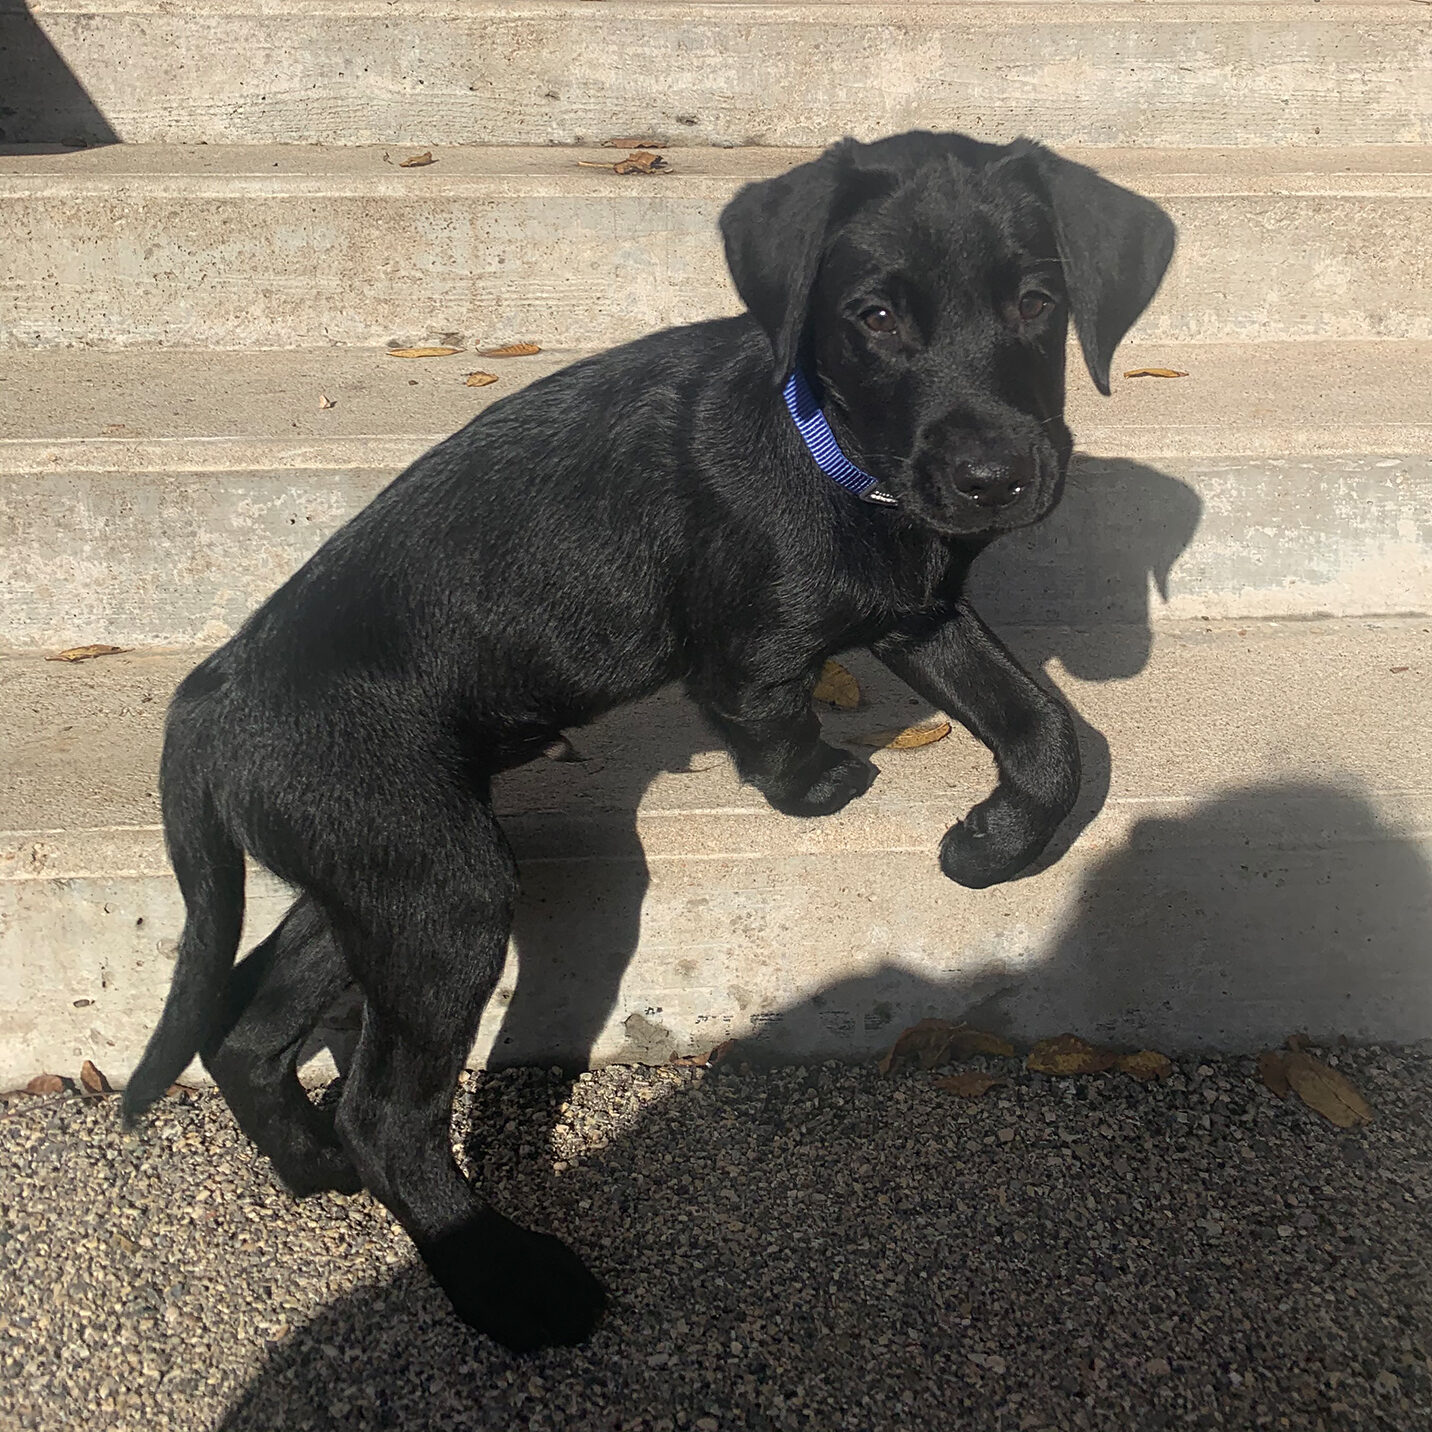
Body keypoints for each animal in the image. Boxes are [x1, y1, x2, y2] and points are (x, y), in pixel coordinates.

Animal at [126, 128, 1174, 1346]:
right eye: (872, 315)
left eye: (1039, 303)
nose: (995, 477)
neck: (825, 449)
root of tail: (203, 704)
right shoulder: (748, 647)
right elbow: (775, 712)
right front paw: (817, 784)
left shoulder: (916, 608)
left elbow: (1049, 730)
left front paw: (995, 842)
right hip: (439, 884)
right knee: (381, 1109)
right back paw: (505, 1279)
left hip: (383, 873)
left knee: (247, 1030)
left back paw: (308, 1169)